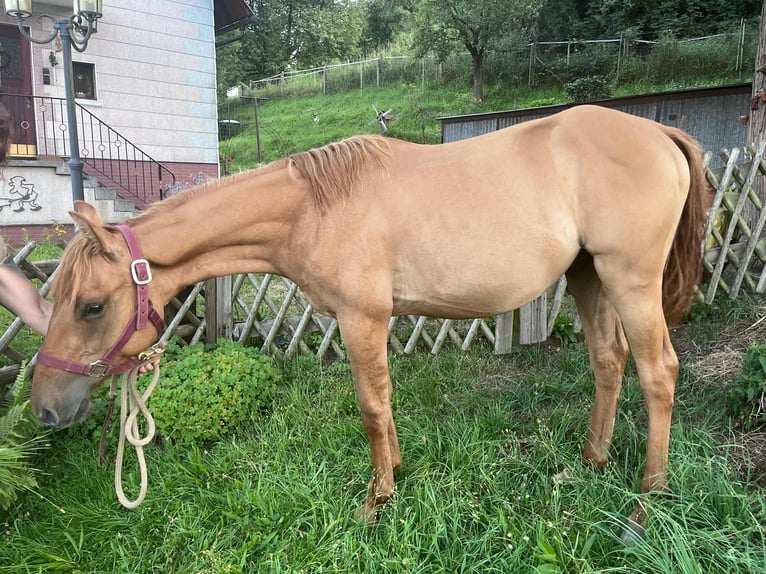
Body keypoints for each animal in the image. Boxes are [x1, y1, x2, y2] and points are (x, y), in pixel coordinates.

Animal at [30, 106, 708, 544]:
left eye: (91, 305)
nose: (45, 408)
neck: (312, 207)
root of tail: (658, 131)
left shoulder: (362, 321)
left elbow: (372, 408)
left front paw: (377, 502)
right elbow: (385, 401)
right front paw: (397, 475)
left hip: (629, 280)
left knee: (658, 374)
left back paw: (647, 505)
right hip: (590, 277)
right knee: (608, 363)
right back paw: (590, 463)